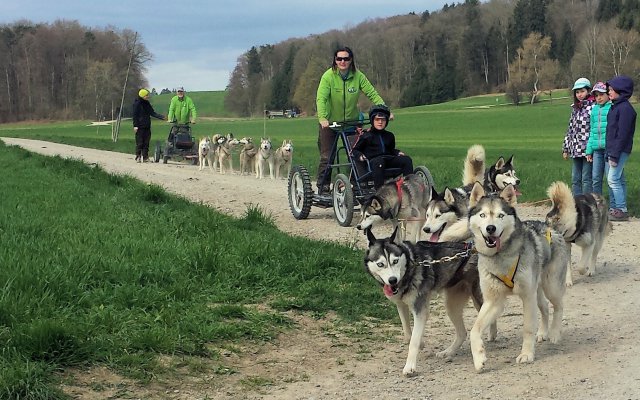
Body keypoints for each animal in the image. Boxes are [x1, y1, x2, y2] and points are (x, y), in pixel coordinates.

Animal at [364, 227, 496, 376]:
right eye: (380, 264)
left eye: (395, 261)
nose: (392, 280)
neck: (411, 266)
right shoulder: (401, 305)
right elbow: (408, 334)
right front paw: (420, 343)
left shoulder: (420, 310)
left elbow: (413, 341)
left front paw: (410, 366)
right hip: (451, 305)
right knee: (463, 333)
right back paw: (448, 352)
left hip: (479, 299)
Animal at [468, 184, 568, 372]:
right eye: (482, 215)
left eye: (500, 215)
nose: (490, 228)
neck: (500, 257)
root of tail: (548, 226)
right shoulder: (493, 301)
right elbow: (474, 330)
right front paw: (479, 358)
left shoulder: (527, 296)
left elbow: (528, 327)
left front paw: (527, 354)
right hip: (537, 291)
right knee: (544, 308)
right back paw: (542, 332)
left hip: (551, 286)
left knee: (558, 307)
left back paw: (554, 333)